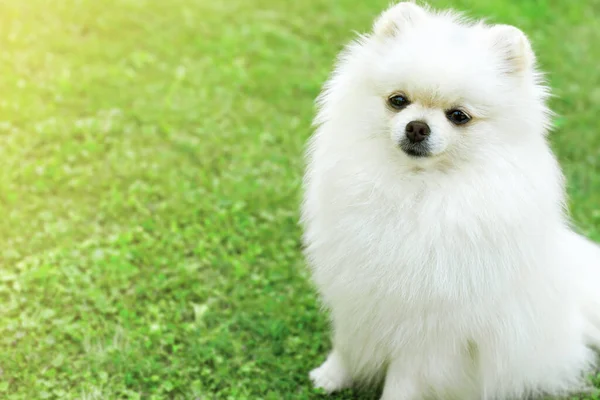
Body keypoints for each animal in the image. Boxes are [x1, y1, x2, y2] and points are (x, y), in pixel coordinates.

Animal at [302, 1, 600, 398]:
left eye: (459, 116)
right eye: (398, 101)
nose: (417, 127)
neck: (414, 189)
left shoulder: (429, 330)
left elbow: (404, 379)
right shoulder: (356, 293)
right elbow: (347, 344)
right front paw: (331, 377)